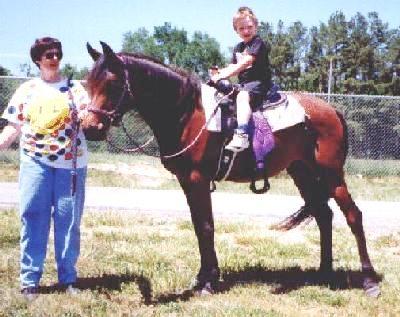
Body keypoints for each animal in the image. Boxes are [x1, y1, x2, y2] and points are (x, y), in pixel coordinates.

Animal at [82, 42, 382, 296]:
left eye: (112, 83)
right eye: (88, 83)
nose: (89, 128)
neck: (188, 112)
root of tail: (332, 110)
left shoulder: (198, 179)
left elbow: (206, 226)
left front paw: (208, 282)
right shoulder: (186, 181)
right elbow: (199, 225)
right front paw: (203, 278)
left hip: (331, 173)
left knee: (353, 216)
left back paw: (369, 280)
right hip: (303, 172)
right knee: (324, 216)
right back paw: (324, 273)